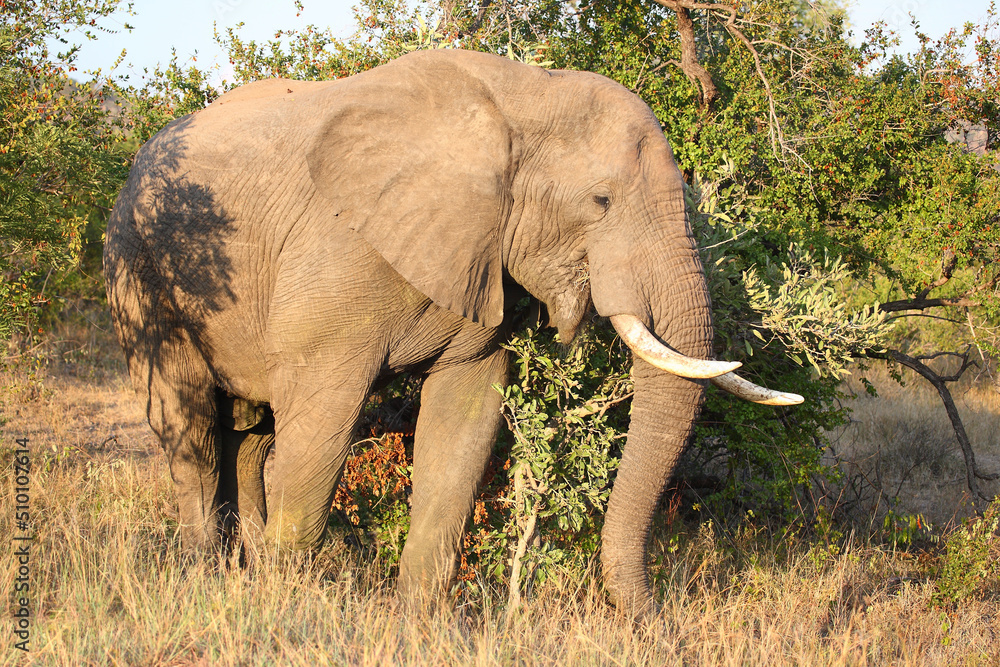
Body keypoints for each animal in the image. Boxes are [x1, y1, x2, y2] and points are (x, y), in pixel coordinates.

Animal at [103, 48, 802, 616]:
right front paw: (283, 615)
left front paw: (418, 626)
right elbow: (317, 441)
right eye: (601, 201)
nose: (650, 618)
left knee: (248, 436)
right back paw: (207, 582)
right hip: (138, 266)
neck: (523, 95)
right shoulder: (335, 259)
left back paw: (236, 572)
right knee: (192, 429)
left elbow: (462, 428)